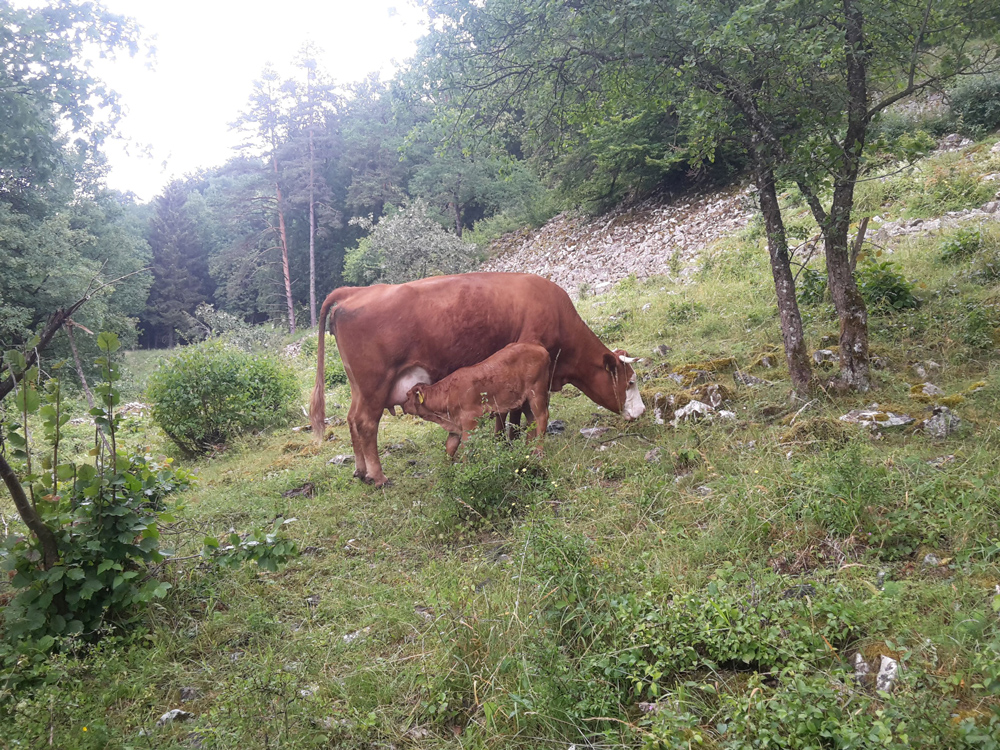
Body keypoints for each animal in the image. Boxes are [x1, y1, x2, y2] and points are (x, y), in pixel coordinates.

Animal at [402, 346, 552, 458]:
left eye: (408, 396)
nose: (403, 406)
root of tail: (540, 349)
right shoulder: (455, 427)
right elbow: (449, 448)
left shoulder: (470, 422)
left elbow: (465, 449)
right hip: (525, 400)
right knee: (532, 420)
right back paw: (528, 449)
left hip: (536, 392)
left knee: (542, 417)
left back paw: (538, 452)